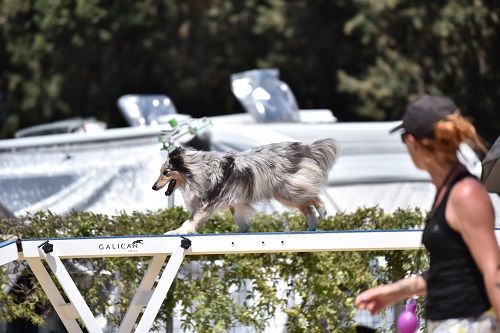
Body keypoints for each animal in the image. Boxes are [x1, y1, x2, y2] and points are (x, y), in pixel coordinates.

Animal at [152, 138, 340, 233]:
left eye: (166, 172)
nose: (153, 187)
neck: (197, 169)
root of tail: (305, 149)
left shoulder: (207, 202)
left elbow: (191, 219)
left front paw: (177, 231)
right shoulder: (235, 201)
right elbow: (238, 216)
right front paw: (243, 230)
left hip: (289, 189)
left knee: (312, 194)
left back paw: (322, 210)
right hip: (284, 194)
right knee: (307, 206)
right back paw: (311, 226)